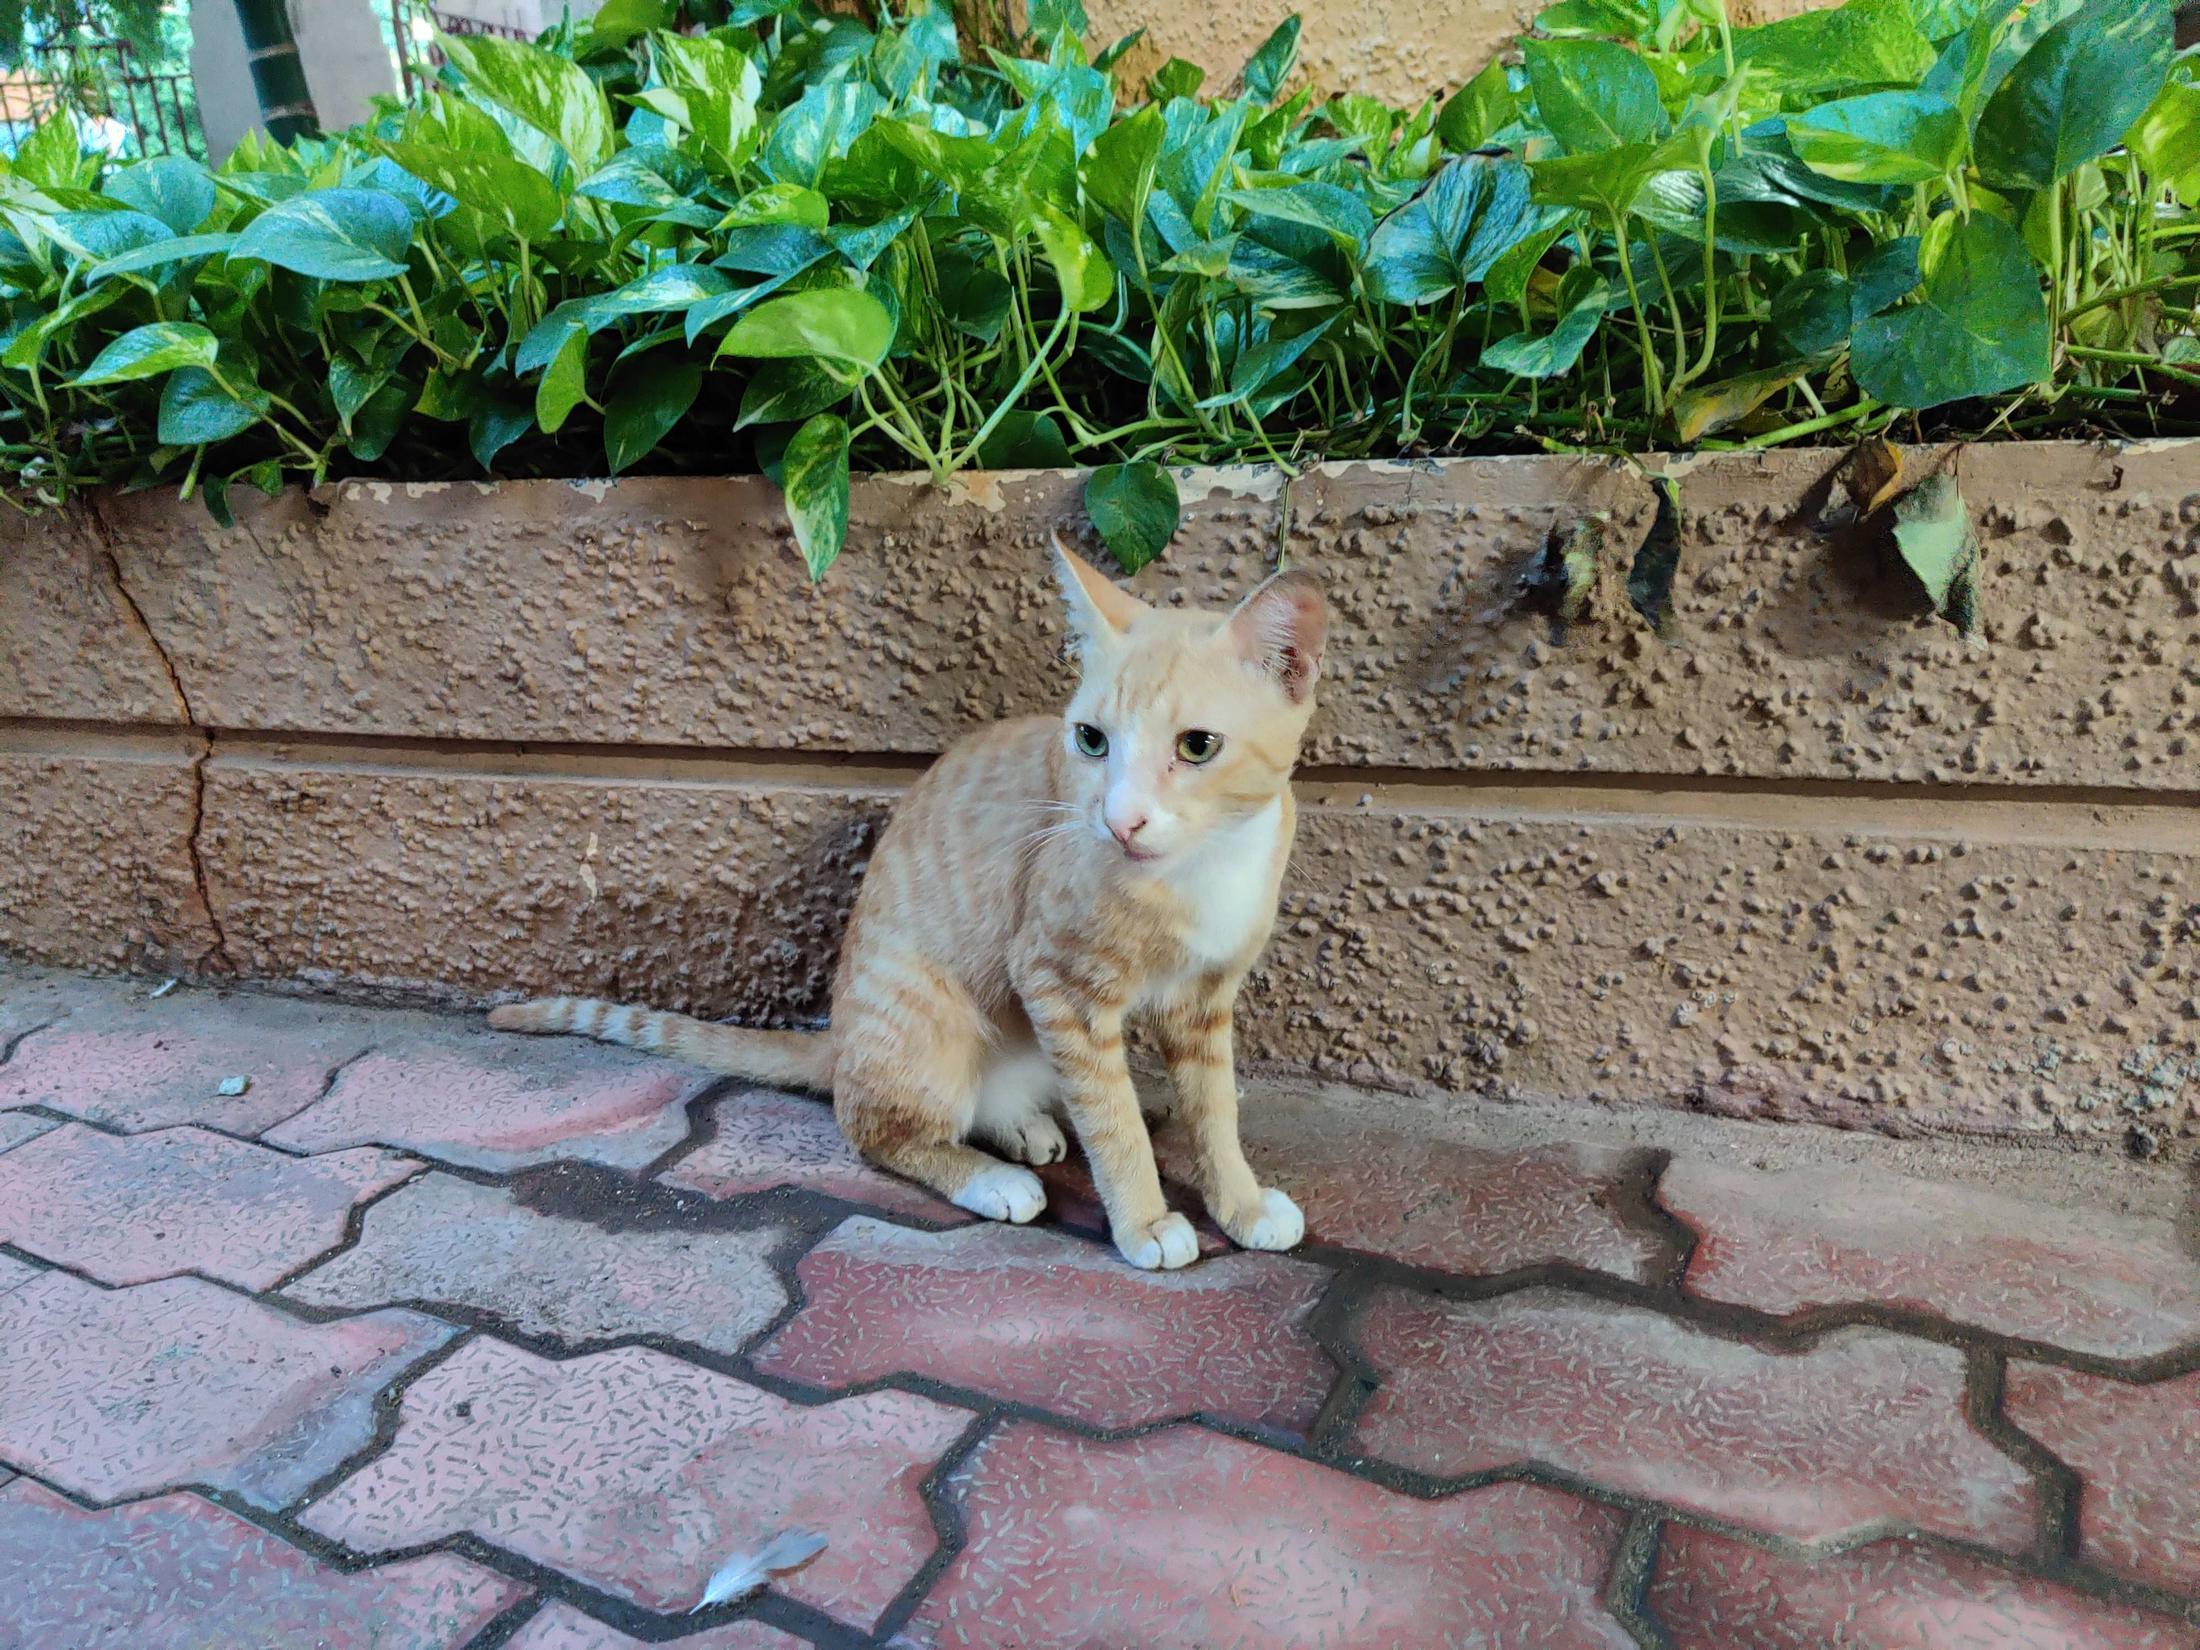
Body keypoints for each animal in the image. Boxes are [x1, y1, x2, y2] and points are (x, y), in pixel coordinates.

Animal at [490, 536, 1320, 1276]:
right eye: (1091, 740)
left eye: (1197, 747)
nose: (1119, 821)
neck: (1204, 869)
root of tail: (839, 1039)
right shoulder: (1057, 984)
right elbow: (1113, 1118)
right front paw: (1145, 1219)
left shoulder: (1203, 1001)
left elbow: (1215, 1110)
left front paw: (1240, 1202)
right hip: (929, 1023)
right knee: (875, 1130)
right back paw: (992, 1177)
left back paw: (1021, 1127)